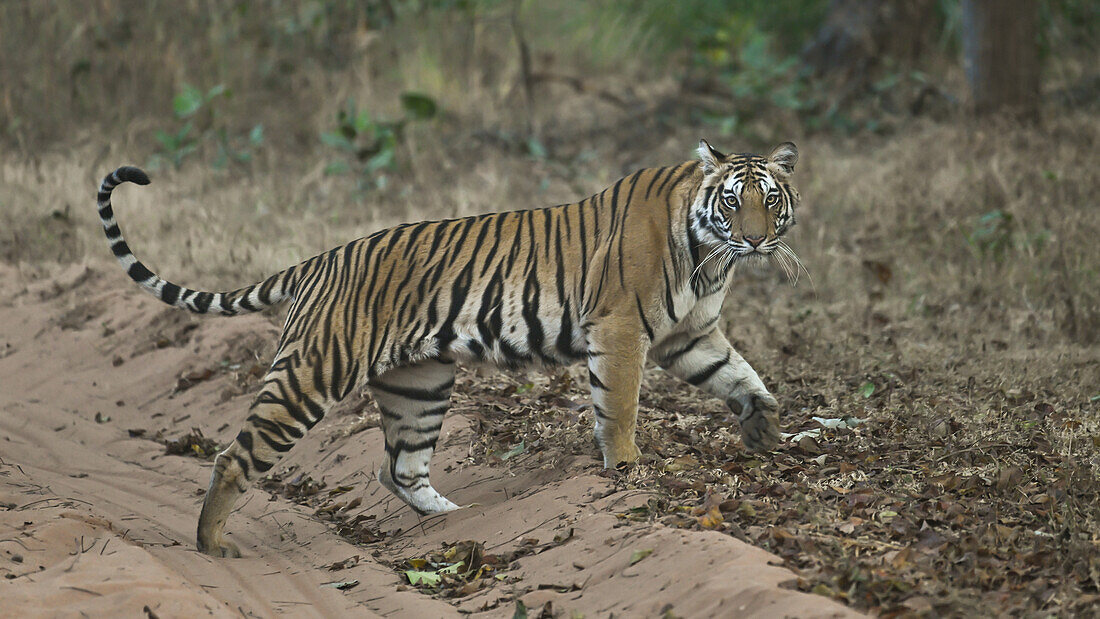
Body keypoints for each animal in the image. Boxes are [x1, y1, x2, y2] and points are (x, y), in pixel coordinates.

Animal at [94, 139, 800, 556]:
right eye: (733, 202)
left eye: (771, 202)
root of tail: (319, 260)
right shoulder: (621, 328)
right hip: (313, 372)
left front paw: (766, 429)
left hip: (421, 385)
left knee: (397, 467)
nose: (757, 240)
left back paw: (456, 519)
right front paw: (626, 469)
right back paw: (211, 546)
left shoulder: (690, 335)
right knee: (234, 457)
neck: (710, 258)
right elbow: (620, 407)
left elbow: (740, 375)